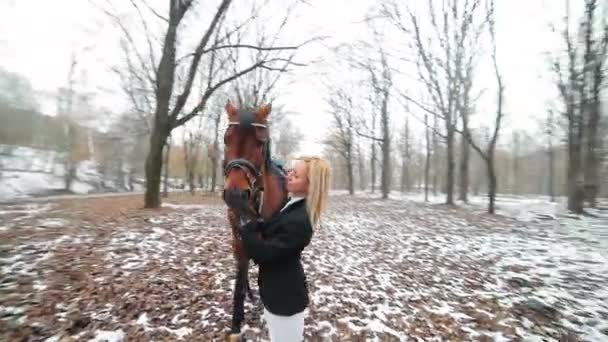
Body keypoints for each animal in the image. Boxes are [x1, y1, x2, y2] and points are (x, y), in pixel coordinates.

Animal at [222, 101, 288, 340]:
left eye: (260, 143)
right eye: (226, 139)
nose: (235, 194)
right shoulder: (239, 241)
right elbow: (239, 282)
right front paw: (236, 323)